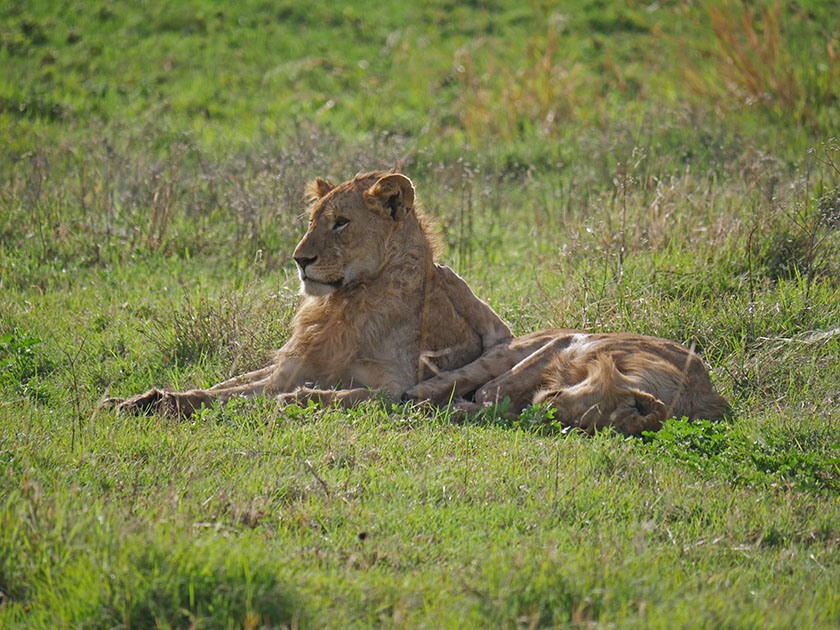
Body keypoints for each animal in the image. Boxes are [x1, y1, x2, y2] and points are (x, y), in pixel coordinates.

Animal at [105, 173, 512, 418]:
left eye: (341, 223)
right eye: (312, 220)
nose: (300, 259)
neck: (346, 304)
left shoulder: (394, 389)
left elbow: (322, 394)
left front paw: (286, 402)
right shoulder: (293, 367)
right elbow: (224, 392)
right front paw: (144, 401)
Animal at [406, 328, 728, 436]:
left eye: (576, 425)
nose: (545, 408)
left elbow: (502, 408)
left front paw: (460, 411)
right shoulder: (571, 342)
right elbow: (490, 390)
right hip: (520, 347)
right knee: (471, 372)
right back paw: (415, 395)